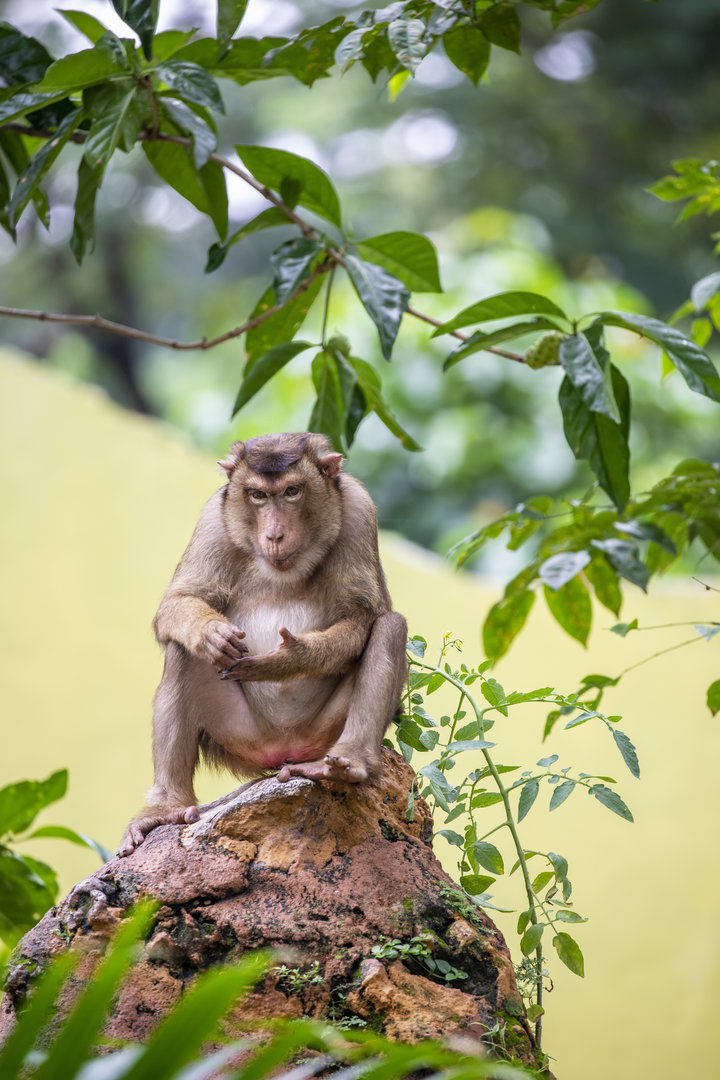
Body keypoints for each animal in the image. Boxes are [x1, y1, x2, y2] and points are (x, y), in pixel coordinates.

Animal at [118, 432, 408, 856]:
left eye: (291, 492)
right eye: (257, 495)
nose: (274, 535)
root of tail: (284, 749)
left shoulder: (358, 509)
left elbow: (363, 615)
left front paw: (289, 659)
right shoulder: (213, 518)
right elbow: (178, 601)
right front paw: (209, 632)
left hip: (322, 734)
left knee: (390, 626)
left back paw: (349, 764)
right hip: (242, 737)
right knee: (182, 651)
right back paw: (168, 807)